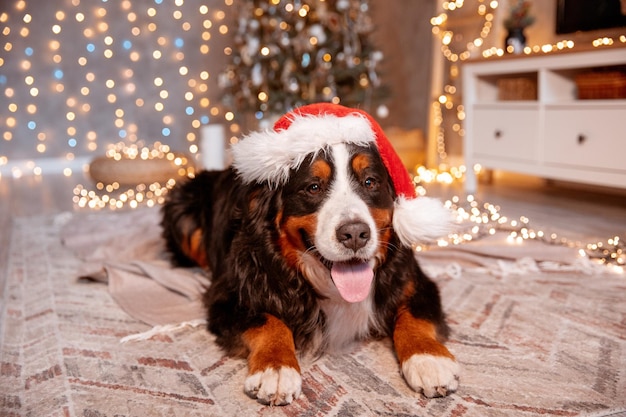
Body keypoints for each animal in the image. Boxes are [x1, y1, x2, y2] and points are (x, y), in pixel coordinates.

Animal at [161, 102, 458, 404]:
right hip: (181, 209)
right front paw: (276, 367)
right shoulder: (230, 295)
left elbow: (414, 315)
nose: (355, 234)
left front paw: (428, 358)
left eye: (370, 182)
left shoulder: (414, 281)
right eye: (313, 187)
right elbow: (268, 321)